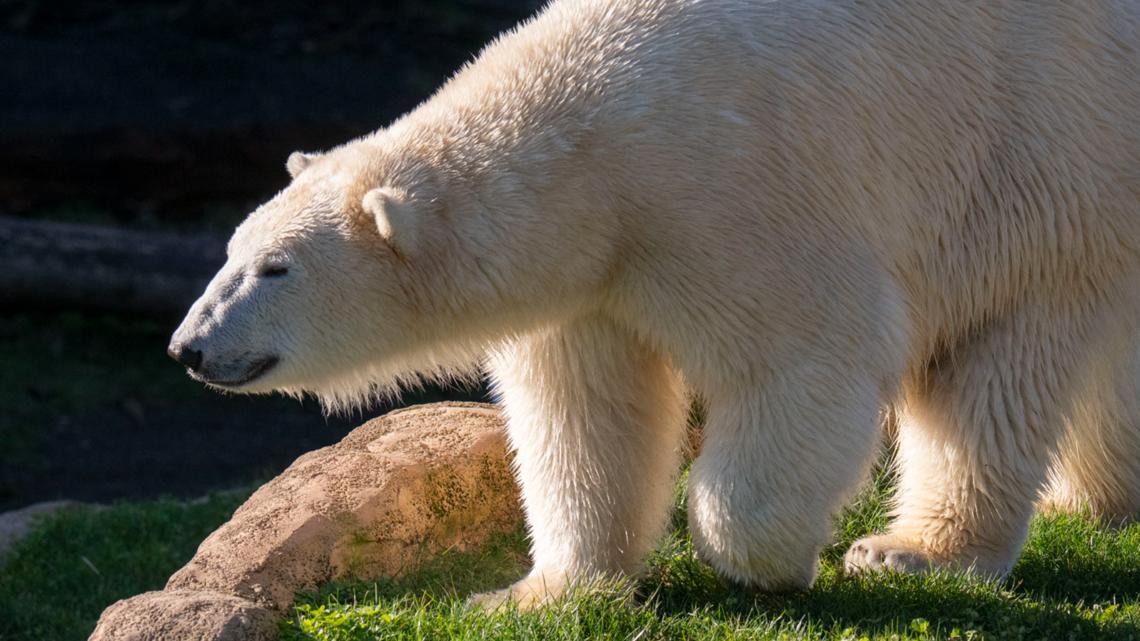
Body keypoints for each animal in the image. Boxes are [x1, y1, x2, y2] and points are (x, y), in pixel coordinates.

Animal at [169, 0, 1140, 607]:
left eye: (276, 268)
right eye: (232, 253)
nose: (190, 346)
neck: (595, 136)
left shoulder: (733, 191)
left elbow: (808, 355)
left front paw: (771, 562)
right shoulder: (593, 280)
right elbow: (585, 413)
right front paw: (534, 591)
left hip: (1030, 156)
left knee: (988, 365)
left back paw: (915, 549)